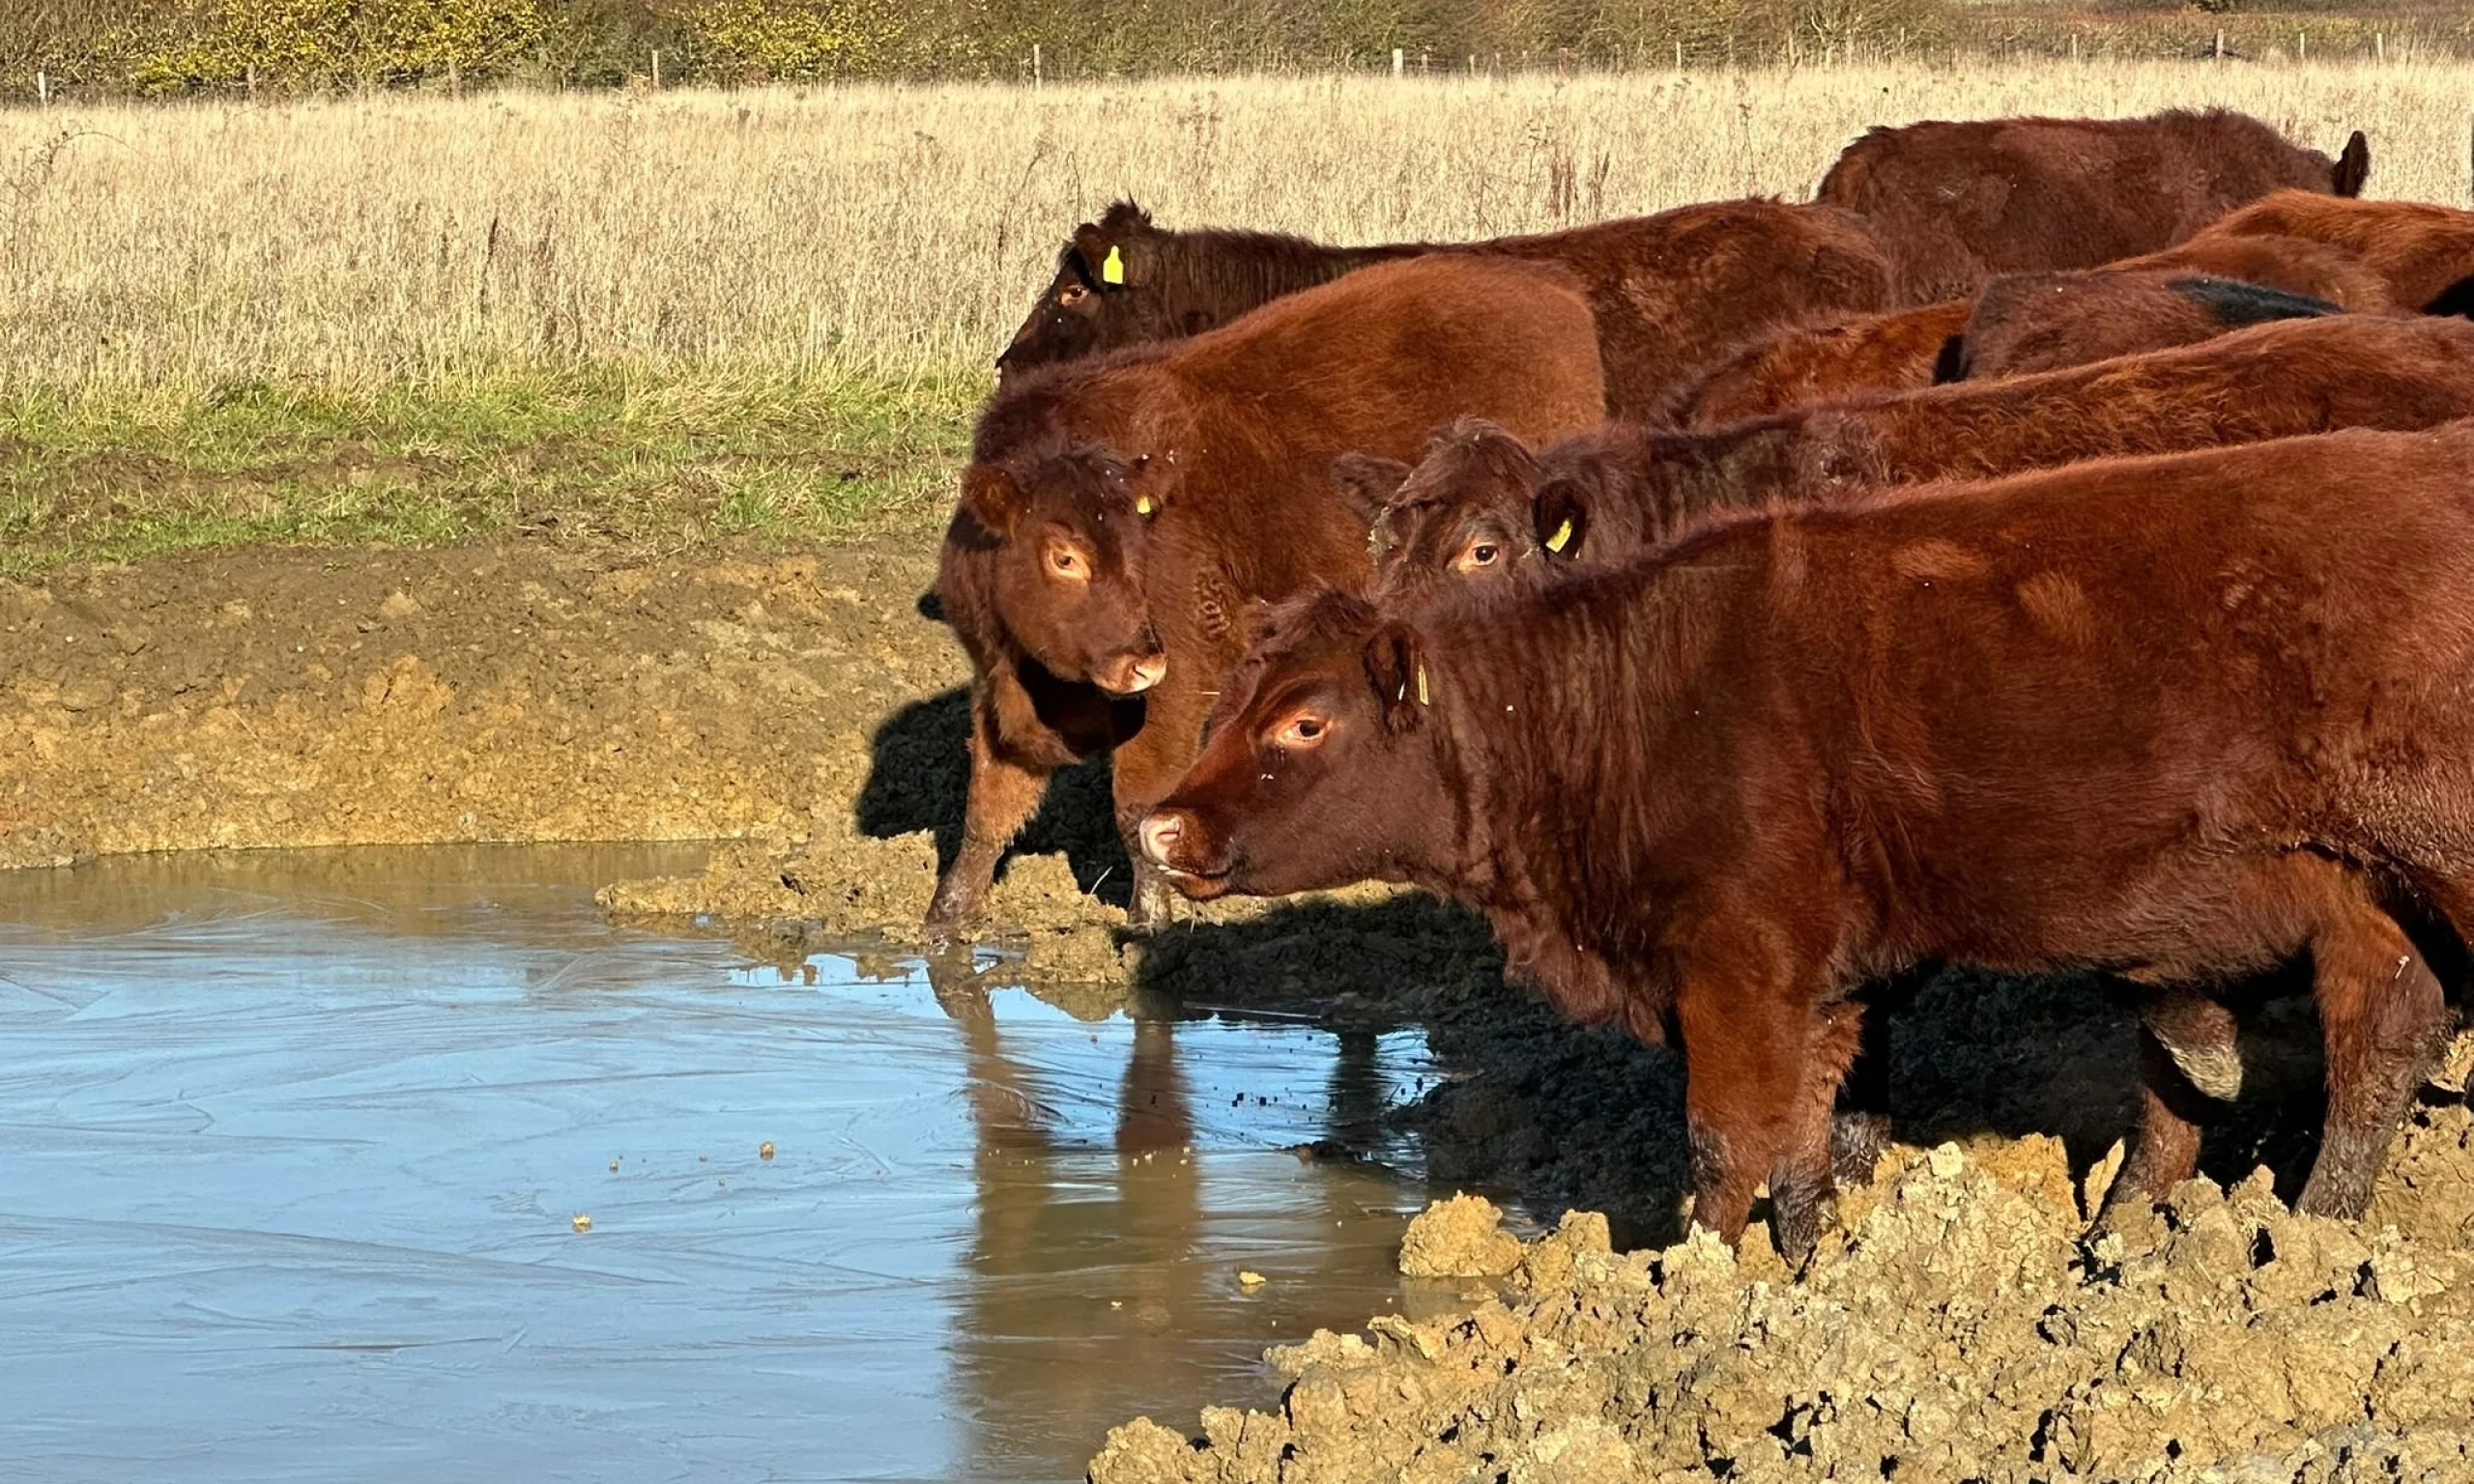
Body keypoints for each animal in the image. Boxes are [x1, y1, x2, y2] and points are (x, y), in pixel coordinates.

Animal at [929, 254, 1606, 935]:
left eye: (1138, 544)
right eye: (1064, 555)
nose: (1140, 662)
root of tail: (1557, 298)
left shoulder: (1176, 691)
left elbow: (1138, 809)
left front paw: (1151, 919)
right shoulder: (1002, 696)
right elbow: (986, 811)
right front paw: (944, 921)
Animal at [1138, 423, 2474, 1261]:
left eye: (1305, 721)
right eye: (1225, 704)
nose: (1161, 825)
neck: (1630, 699)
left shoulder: (1738, 971)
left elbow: (1727, 1141)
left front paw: (1681, 1291)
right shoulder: (1819, 987)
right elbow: (1803, 1143)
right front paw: (1807, 1264)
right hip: (2355, 900)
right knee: (2367, 1045)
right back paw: (2280, 1235)